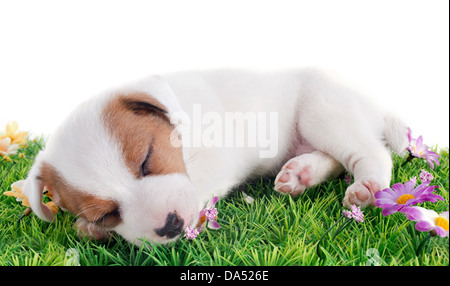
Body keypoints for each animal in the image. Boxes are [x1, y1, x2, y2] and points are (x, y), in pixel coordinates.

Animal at [22, 68, 410, 245]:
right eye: (105, 214)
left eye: (146, 159)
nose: (171, 225)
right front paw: (91, 230)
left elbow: (200, 186)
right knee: (334, 157)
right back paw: (300, 173)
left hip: (322, 110)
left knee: (370, 151)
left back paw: (367, 185)